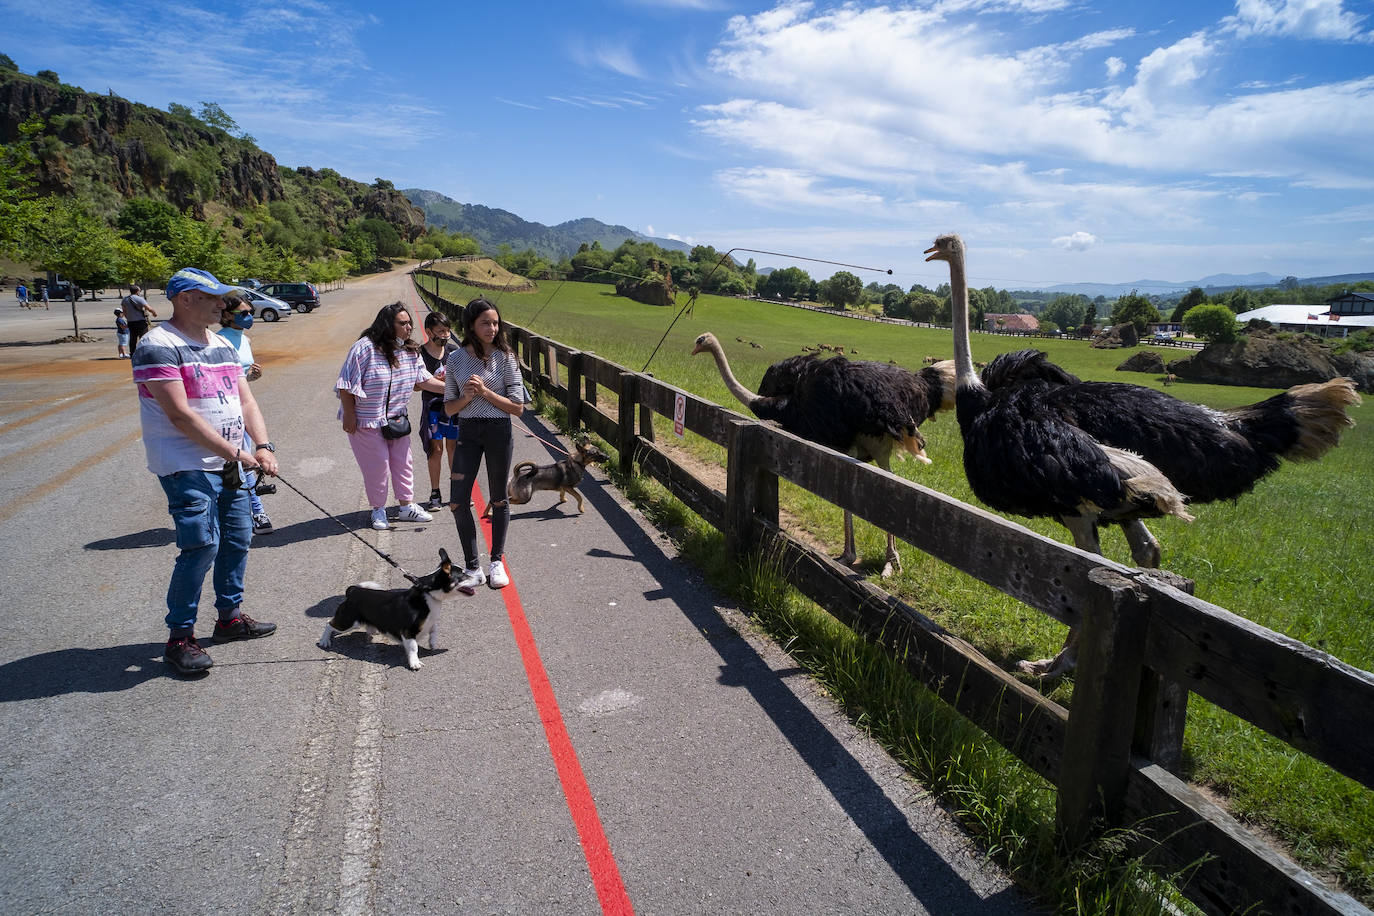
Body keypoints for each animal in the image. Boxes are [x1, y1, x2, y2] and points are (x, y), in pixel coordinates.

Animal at [316, 549, 472, 670]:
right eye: (464, 575)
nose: (477, 576)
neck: (428, 594)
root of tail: (353, 591)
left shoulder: (431, 622)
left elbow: (434, 630)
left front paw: (432, 643)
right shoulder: (408, 631)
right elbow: (413, 647)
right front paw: (414, 663)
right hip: (349, 622)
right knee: (329, 624)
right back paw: (324, 641)